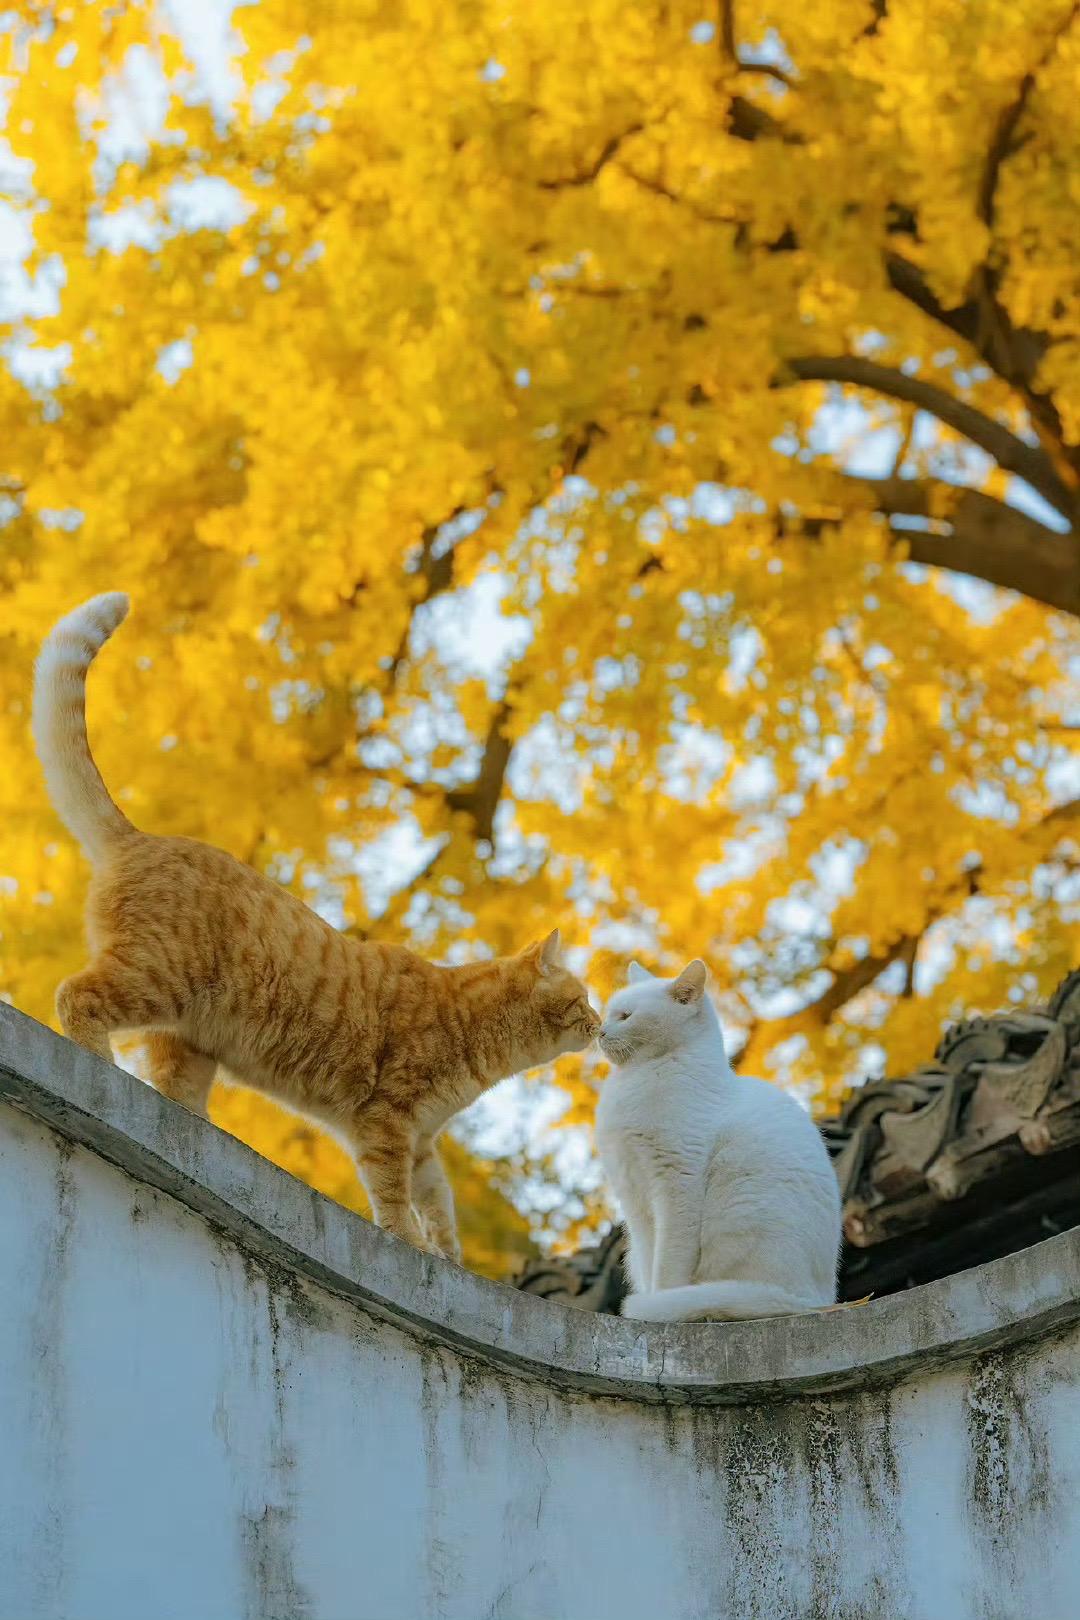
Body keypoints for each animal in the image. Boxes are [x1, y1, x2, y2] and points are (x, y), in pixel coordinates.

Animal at [33, 596, 599, 1250]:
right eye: (583, 998)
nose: (600, 1023)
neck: (478, 1035)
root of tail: (139, 836)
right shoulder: (387, 1121)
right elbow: (394, 1198)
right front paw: (409, 1244)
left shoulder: (424, 1143)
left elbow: (439, 1205)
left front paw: (449, 1256)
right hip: (156, 976)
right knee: (76, 995)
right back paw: (98, 1068)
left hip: (189, 1040)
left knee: (173, 1091)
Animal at [595, 959, 841, 1315]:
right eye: (608, 1014)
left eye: (625, 1016)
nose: (599, 1032)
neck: (638, 1078)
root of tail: (814, 1300)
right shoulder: (634, 1199)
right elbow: (648, 1258)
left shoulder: (677, 1182)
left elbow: (667, 1268)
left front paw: (657, 1305)